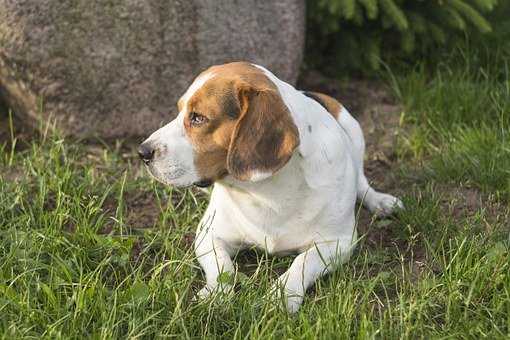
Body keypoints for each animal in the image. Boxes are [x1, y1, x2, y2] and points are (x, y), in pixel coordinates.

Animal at [139, 61, 402, 314]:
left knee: (361, 181)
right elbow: (222, 268)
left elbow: (302, 263)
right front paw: (216, 294)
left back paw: (381, 202)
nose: (142, 152)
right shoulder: (208, 234)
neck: (266, 192)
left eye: (198, 117)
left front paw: (282, 296)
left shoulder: (338, 242)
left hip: (354, 130)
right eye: (180, 110)